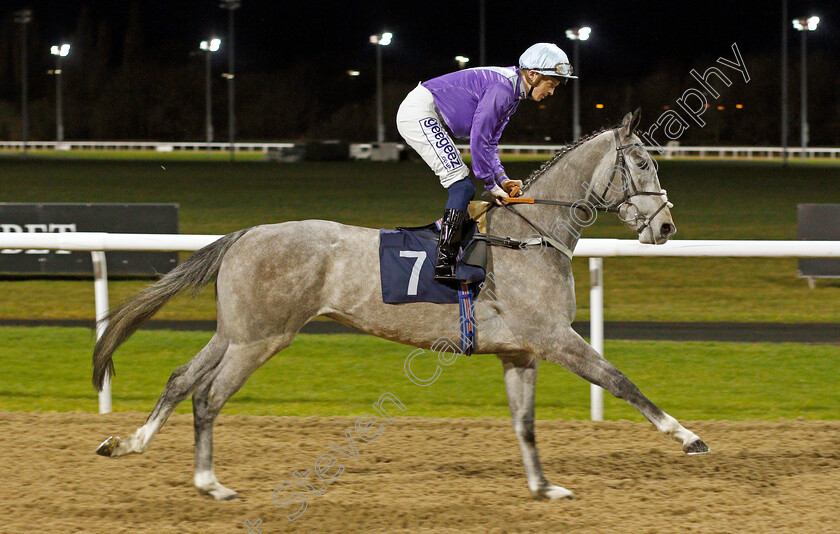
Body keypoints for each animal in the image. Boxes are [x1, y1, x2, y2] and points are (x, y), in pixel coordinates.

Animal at [93, 111, 708, 504]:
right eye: (645, 164)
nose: (666, 226)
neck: (529, 235)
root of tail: (244, 234)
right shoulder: (555, 337)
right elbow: (622, 381)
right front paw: (688, 437)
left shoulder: (521, 352)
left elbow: (526, 423)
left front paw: (542, 486)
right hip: (261, 338)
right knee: (209, 396)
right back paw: (210, 483)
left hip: (237, 330)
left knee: (181, 379)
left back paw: (128, 443)